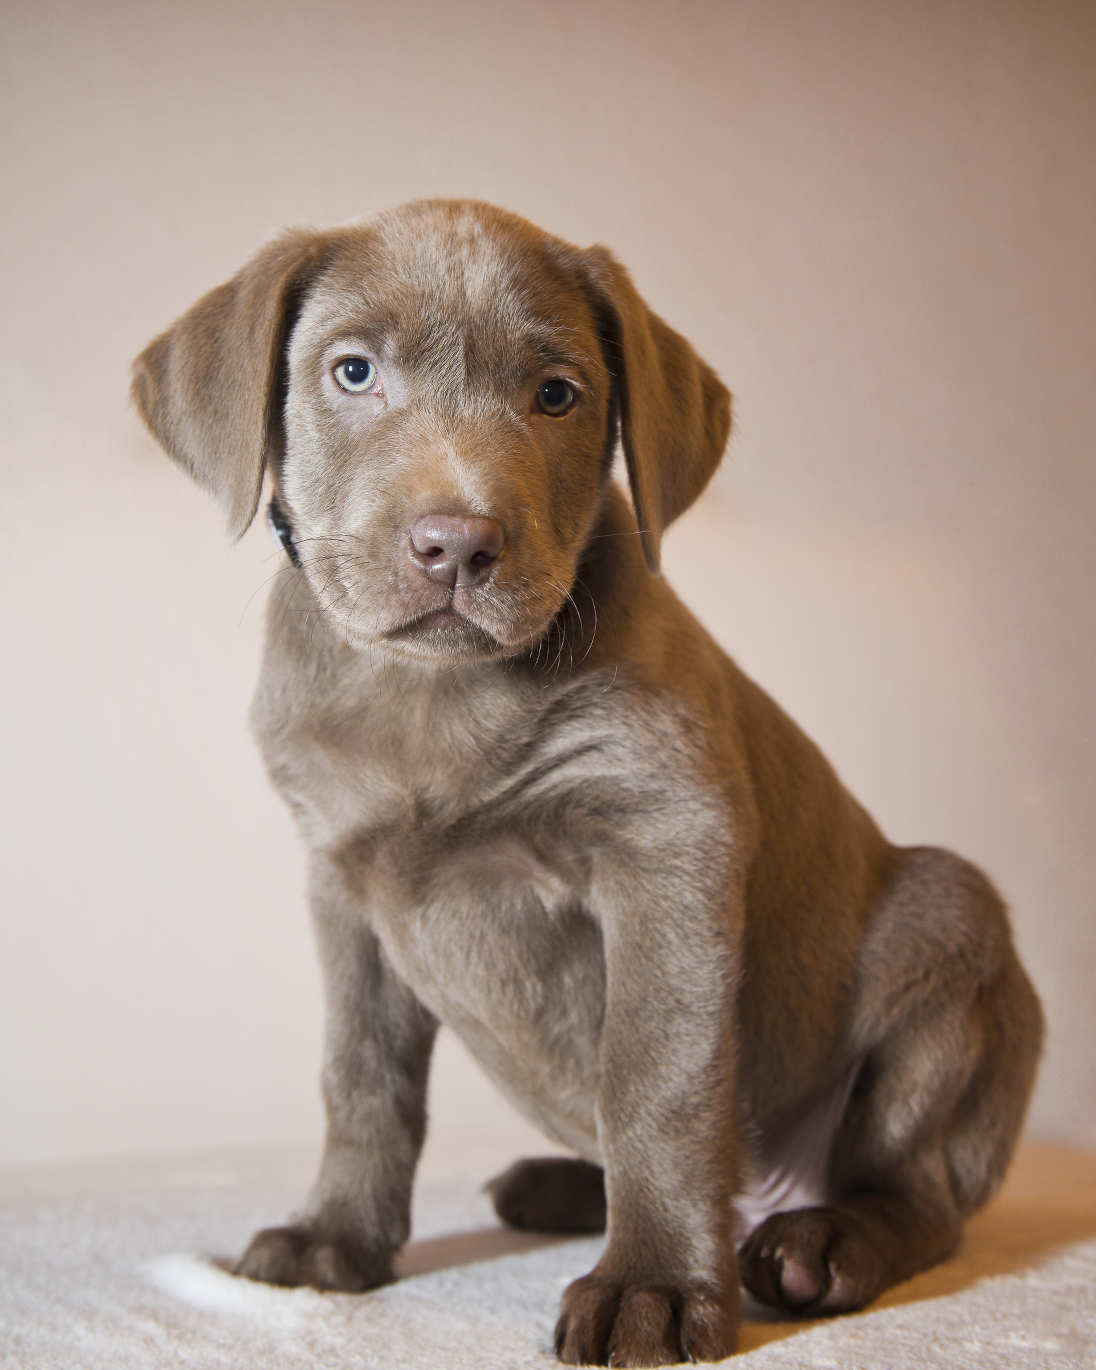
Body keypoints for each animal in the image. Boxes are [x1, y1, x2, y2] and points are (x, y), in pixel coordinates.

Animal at [132, 198, 1041, 1364]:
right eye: (352, 372)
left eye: (557, 394)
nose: (456, 544)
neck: (432, 695)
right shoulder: (343, 884)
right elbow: (361, 1077)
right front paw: (336, 1238)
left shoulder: (664, 841)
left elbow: (654, 1076)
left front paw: (651, 1286)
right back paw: (562, 1185)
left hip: (947, 927)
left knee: (920, 1193)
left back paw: (820, 1243)